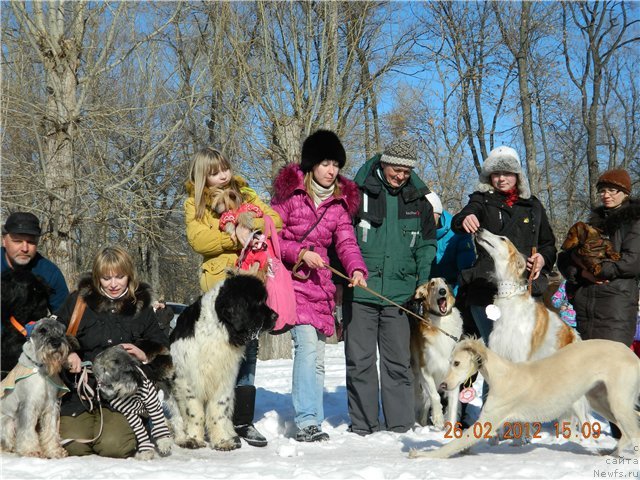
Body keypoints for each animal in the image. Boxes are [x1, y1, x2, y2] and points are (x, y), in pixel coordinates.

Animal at [168, 272, 276, 452]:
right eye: (259, 302)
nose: (276, 316)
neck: (217, 331)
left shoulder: (224, 380)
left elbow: (218, 412)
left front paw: (221, 441)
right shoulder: (189, 380)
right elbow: (195, 413)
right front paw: (193, 439)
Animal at [410, 278, 464, 428]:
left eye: (444, 282)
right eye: (432, 284)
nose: (442, 291)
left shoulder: (453, 378)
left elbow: (452, 409)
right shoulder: (425, 370)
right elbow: (435, 396)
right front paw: (438, 418)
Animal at [410, 338, 640, 458]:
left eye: (456, 363)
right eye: (450, 362)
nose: (442, 385)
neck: (501, 375)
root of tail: (633, 355)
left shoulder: (489, 420)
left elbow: (453, 444)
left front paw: (422, 455)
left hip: (617, 402)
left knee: (634, 432)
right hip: (600, 399)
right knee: (630, 428)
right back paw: (612, 452)